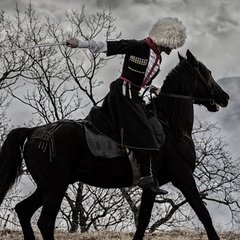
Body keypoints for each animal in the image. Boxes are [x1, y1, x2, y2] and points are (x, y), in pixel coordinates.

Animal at [0, 49, 229, 239]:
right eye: (207, 72)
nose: (225, 97)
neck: (172, 126)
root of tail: (34, 132)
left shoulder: (152, 187)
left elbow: (143, 222)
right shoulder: (183, 177)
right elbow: (204, 215)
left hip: (47, 188)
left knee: (23, 211)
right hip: (55, 188)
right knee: (45, 222)